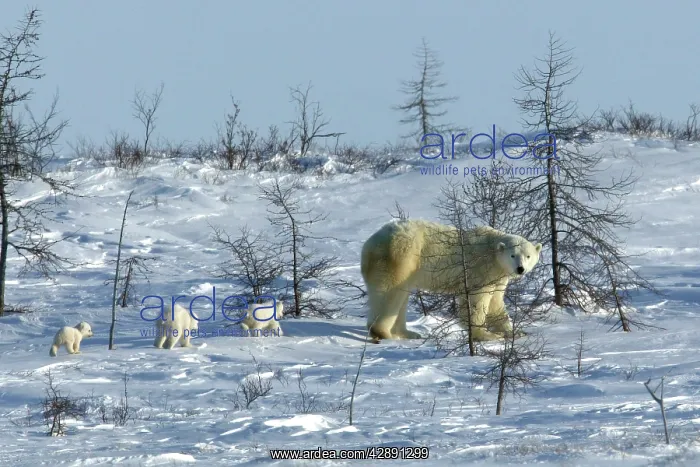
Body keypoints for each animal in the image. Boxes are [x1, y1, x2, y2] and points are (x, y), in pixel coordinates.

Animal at [360, 219, 542, 342]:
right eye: (513, 255)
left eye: (528, 256)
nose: (520, 269)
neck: (492, 252)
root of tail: (369, 245)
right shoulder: (480, 270)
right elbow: (477, 302)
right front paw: (486, 335)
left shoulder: (497, 277)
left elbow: (496, 303)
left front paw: (514, 332)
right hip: (402, 257)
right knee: (390, 293)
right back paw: (383, 332)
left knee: (400, 296)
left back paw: (408, 333)